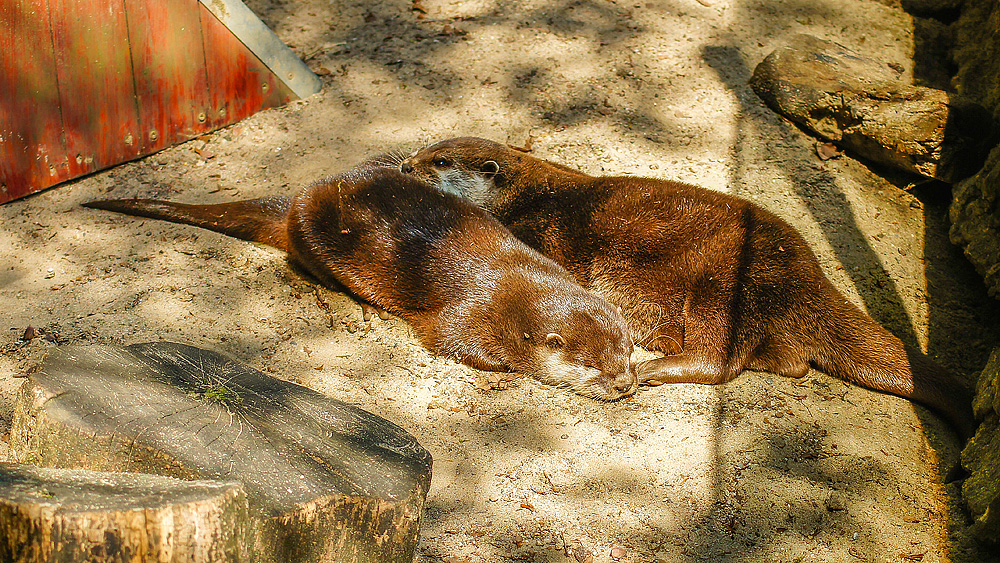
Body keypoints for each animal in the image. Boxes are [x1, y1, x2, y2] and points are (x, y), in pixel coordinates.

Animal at [82, 159, 636, 398]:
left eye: (626, 353)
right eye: (591, 365)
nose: (624, 385)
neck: (522, 282)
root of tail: (298, 197)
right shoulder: (469, 314)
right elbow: (454, 343)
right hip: (313, 234)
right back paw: (362, 307)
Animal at [400, 137, 976, 440]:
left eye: (440, 162)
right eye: (429, 149)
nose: (405, 163)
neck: (528, 195)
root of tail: (808, 278)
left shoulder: (545, 234)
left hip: (723, 286)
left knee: (719, 360)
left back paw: (653, 367)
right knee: (789, 363)